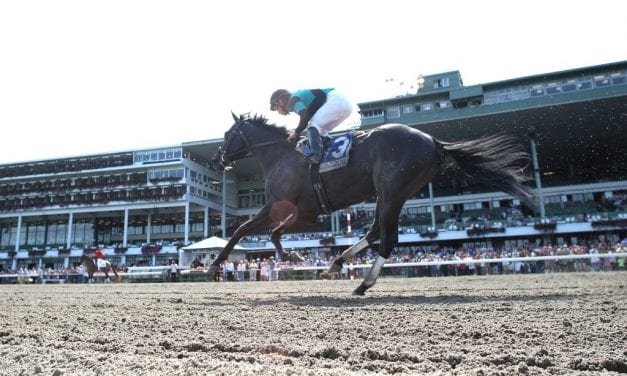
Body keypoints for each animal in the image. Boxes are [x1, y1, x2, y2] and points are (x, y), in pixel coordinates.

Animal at [211, 113, 536, 296]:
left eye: (227, 135)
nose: (216, 159)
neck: (283, 157)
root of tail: (433, 141)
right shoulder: (304, 213)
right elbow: (266, 232)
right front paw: (294, 256)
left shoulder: (292, 209)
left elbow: (250, 230)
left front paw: (217, 263)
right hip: (388, 193)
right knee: (375, 231)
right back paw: (337, 263)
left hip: (392, 191)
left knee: (388, 238)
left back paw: (363, 283)